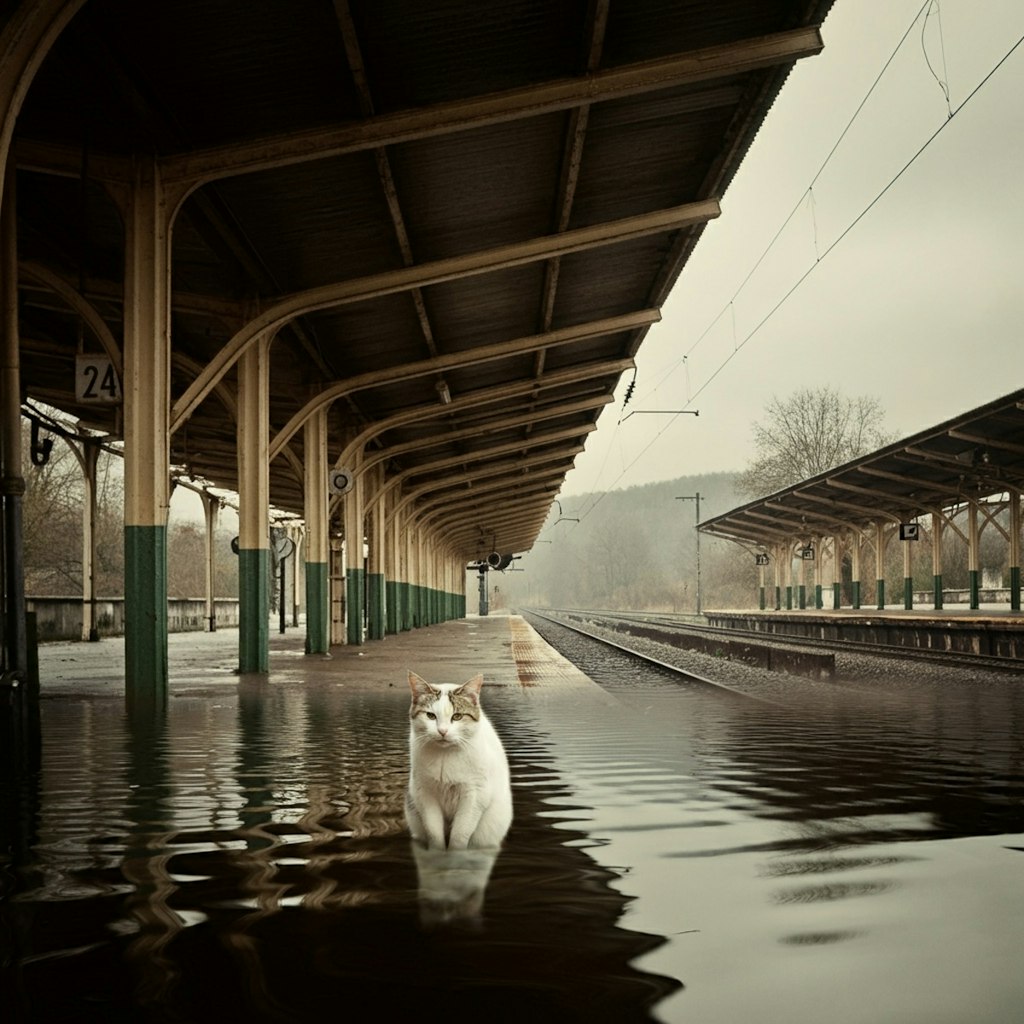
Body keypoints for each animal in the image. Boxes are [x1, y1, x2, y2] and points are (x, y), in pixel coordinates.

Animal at [401, 667, 509, 851]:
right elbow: (434, 832)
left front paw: (455, 854)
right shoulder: (425, 793)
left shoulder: (475, 794)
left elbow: (460, 834)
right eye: (430, 716)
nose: (442, 731)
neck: (445, 755)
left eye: (457, 716)